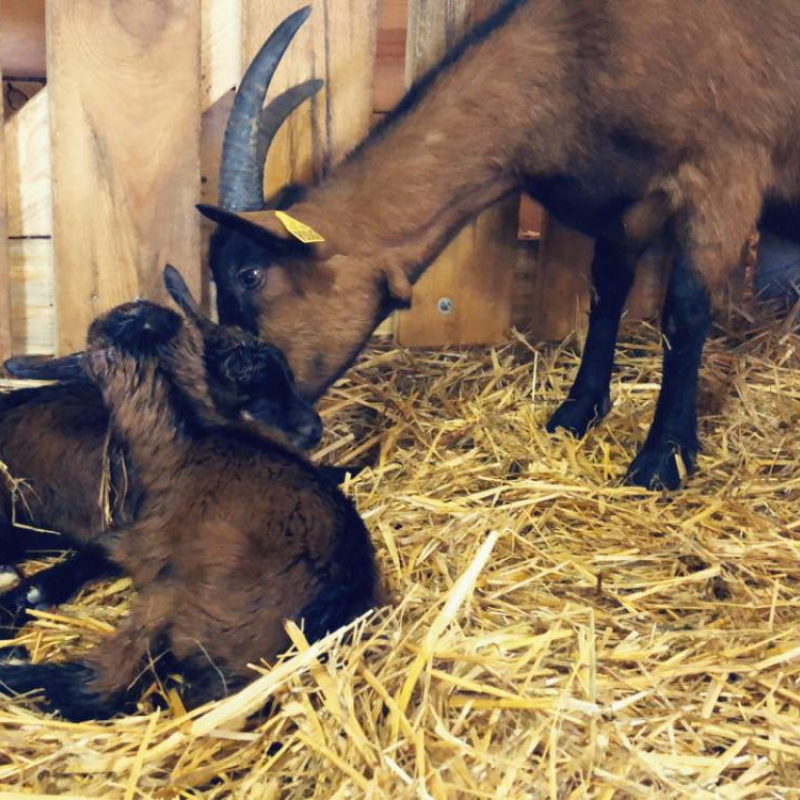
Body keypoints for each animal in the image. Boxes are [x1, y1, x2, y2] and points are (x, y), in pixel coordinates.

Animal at [197, 1, 800, 488]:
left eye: (250, 275)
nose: (239, 419)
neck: (579, 52)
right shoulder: (627, 198)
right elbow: (606, 290)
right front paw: (576, 412)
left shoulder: (724, 174)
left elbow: (686, 311)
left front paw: (662, 460)